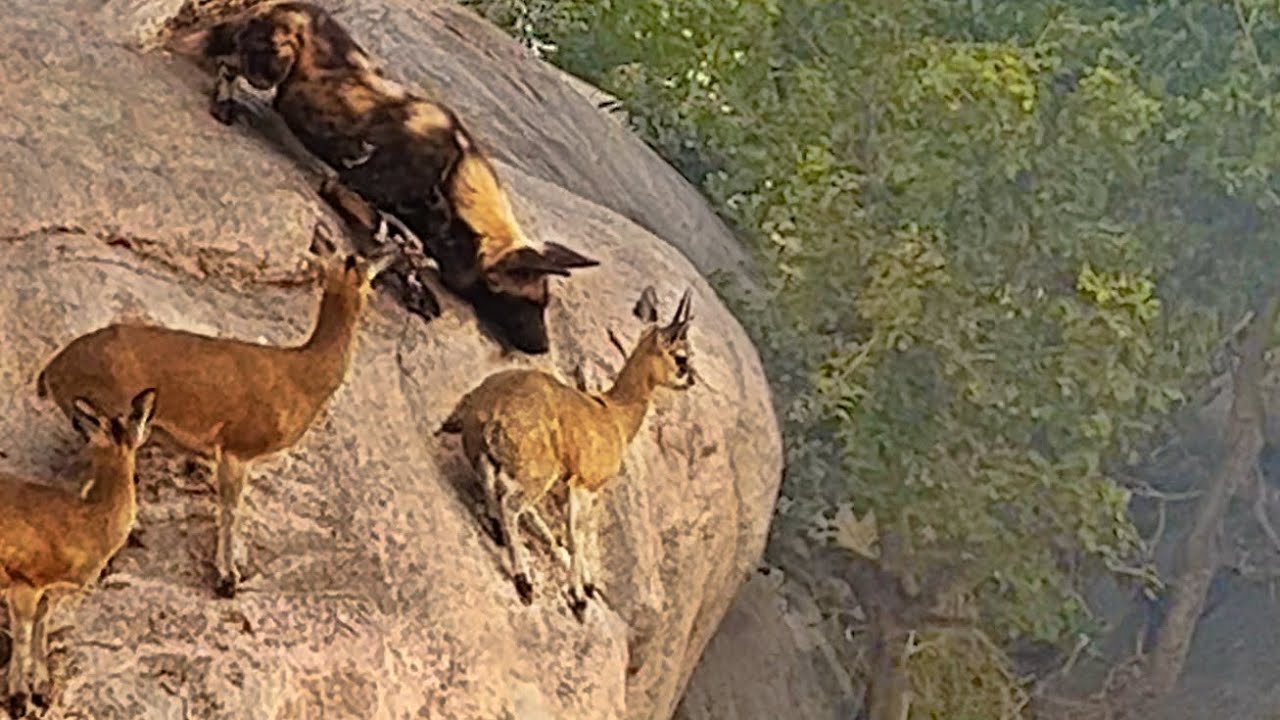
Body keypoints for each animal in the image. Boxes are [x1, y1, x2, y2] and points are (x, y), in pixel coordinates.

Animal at [1, 386, 156, 712]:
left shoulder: (49, 591)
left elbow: (40, 630)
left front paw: (41, 691)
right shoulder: (26, 578)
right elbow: (23, 633)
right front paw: (19, 698)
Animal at [36, 222, 394, 594]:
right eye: (363, 266)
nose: (389, 254)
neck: (303, 374)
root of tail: (52, 369)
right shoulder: (236, 447)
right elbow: (229, 508)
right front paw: (227, 578)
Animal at [167, 0, 601, 353]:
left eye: (544, 304)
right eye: (527, 302)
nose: (543, 348)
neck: (450, 179)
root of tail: (285, 4)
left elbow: (404, 248)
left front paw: (417, 289)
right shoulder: (349, 187)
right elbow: (394, 240)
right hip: (273, 65)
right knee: (230, 63)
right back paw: (224, 102)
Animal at [440, 285, 701, 617]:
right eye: (681, 356)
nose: (690, 380)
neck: (613, 415)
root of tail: (489, 408)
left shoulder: (577, 487)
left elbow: (580, 531)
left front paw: (586, 585)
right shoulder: (583, 485)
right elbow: (576, 534)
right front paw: (578, 597)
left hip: (487, 459)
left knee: (493, 491)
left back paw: (496, 530)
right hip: (537, 474)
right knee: (512, 505)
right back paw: (524, 582)